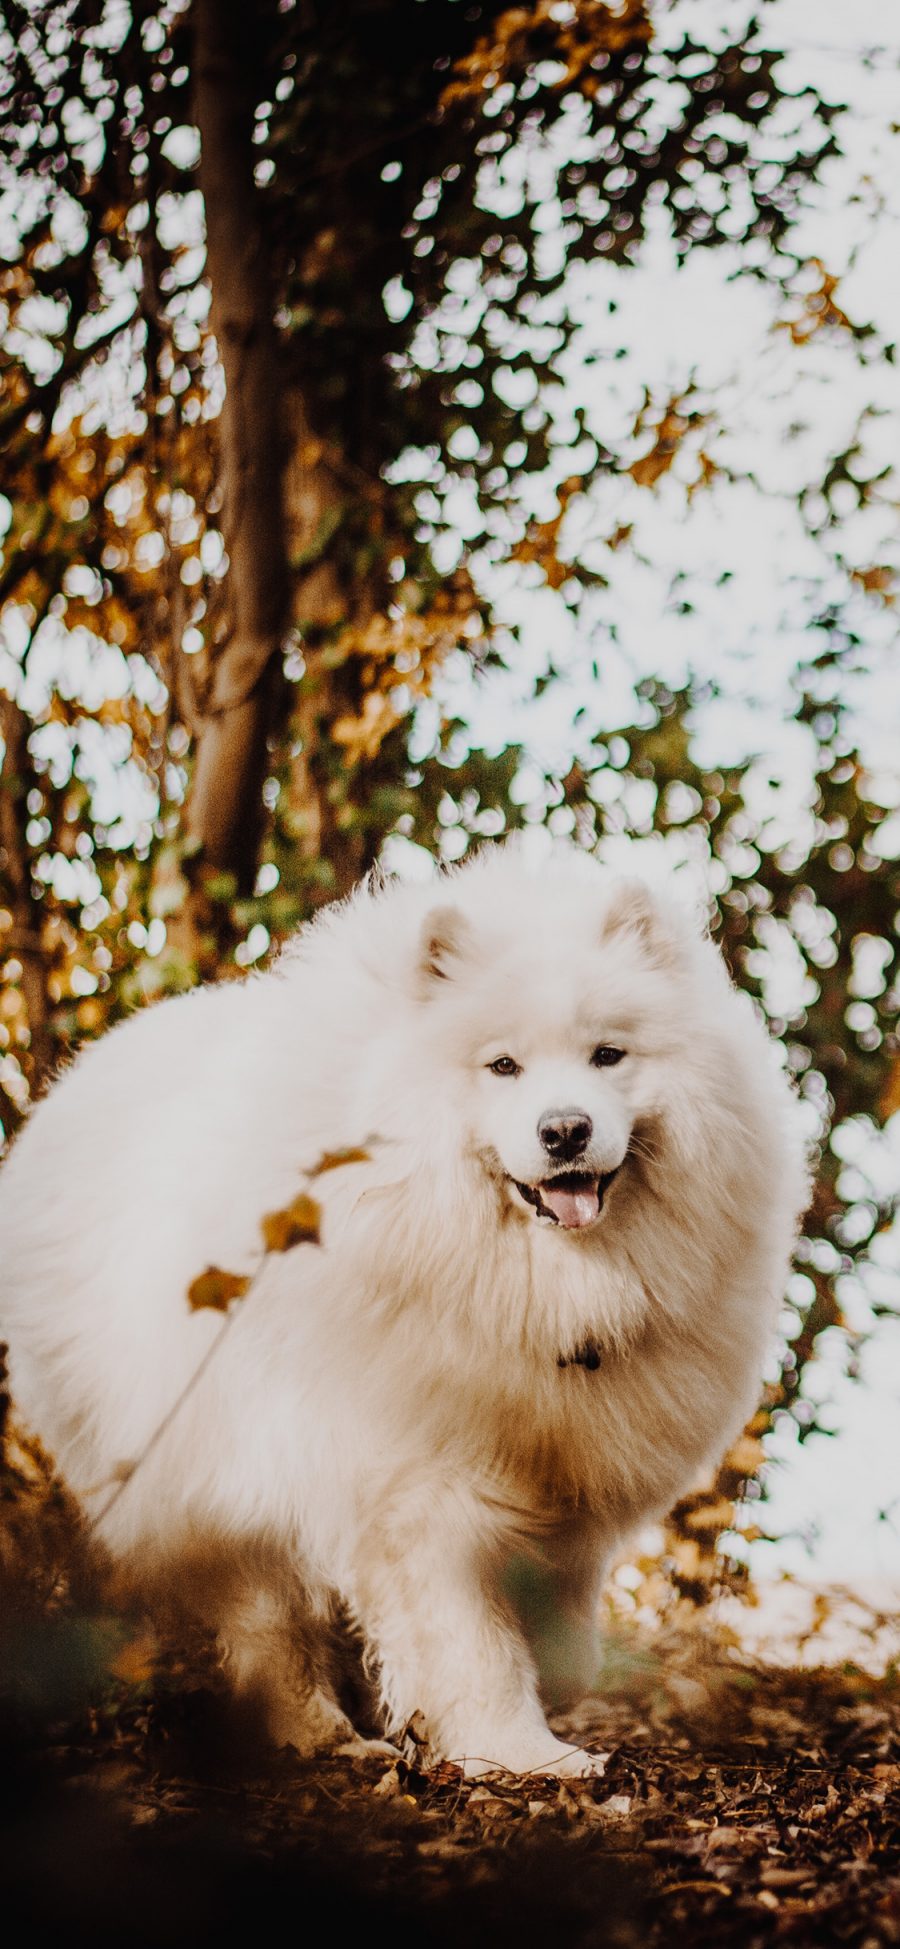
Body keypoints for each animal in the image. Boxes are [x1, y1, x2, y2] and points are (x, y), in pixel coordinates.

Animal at [0, 845, 810, 1777]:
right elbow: (471, 1640)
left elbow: (560, 1612)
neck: (534, 1283)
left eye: (609, 1055)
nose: (565, 1130)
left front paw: (548, 1688)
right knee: (270, 1624)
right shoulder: (418, 1486)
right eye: (503, 1067)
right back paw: (322, 1731)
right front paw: (523, 1752)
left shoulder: (569, 1474)